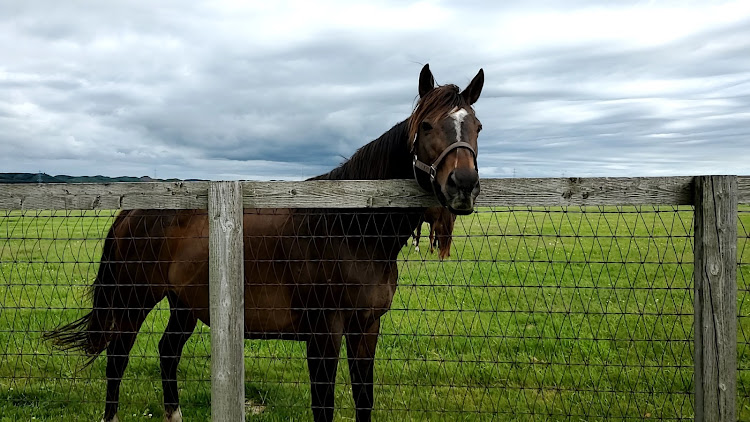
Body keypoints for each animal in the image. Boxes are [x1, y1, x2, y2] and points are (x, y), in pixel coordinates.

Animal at [47, 63, 484, 422]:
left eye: (477, 126)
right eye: (426, 126)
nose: (463, 185)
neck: (349, 231)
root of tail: (132, 211)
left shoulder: (367, 328)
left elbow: (364, 401)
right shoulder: (323, 333)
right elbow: (323, 406)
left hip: (184, 303)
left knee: (167, 351)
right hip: (133, 298)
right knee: (117, 357)